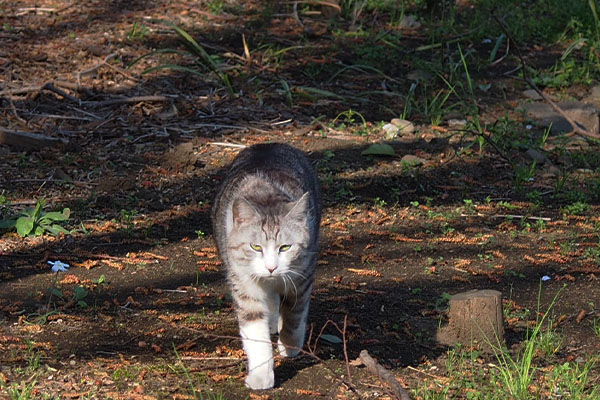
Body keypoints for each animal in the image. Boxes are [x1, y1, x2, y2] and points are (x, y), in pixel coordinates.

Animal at [212, 142, 322, 390]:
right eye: (255, 247)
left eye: (285, 247)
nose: (271, 267)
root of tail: (266, 145)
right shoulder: (244, 283)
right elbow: (256, 332)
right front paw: (261, 375)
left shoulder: (303, 275)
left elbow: (294, 314)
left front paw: (289, 346)